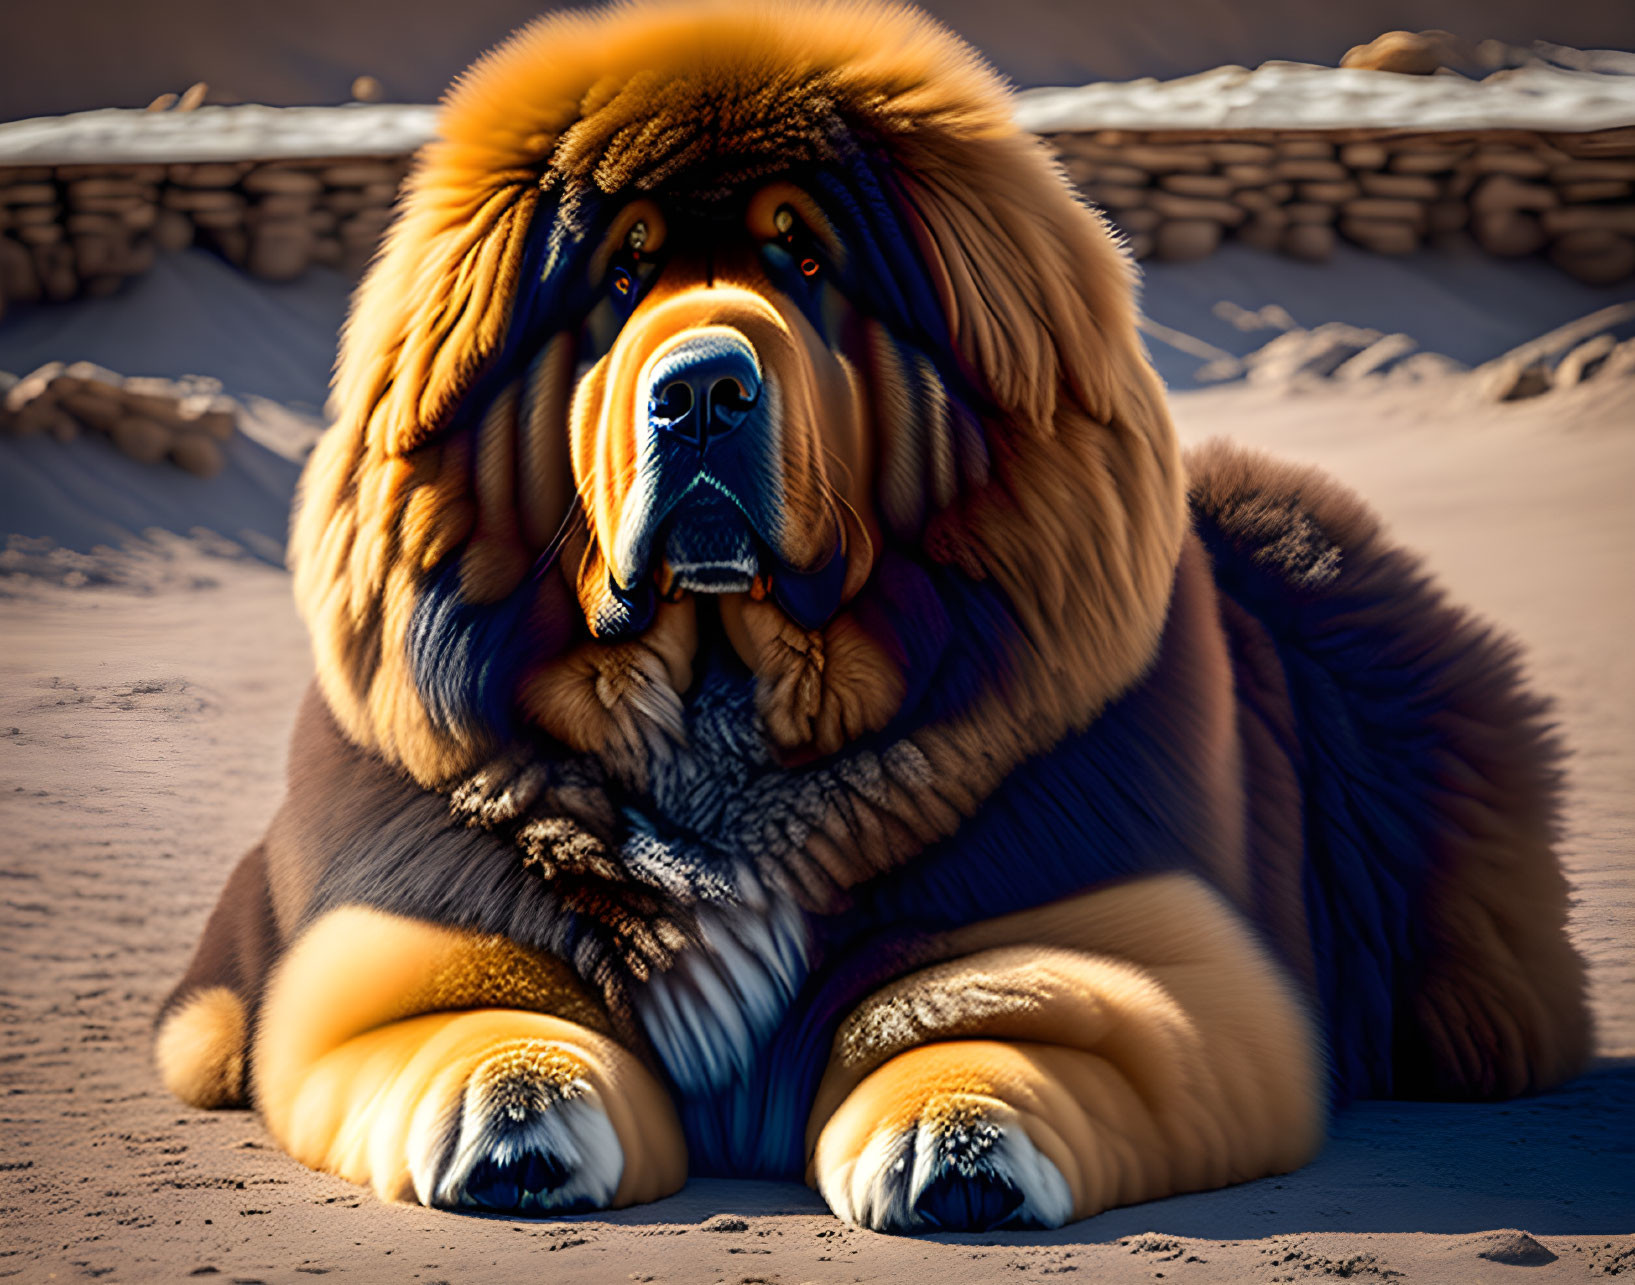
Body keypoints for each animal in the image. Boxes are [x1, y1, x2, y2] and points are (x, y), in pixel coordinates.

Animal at [153, 0, 1582, 1229]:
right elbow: (468, 1013)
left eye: (806, 258)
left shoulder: (1146, 930)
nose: (702, 390)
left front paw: (958, 1137)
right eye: (617, 281)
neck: (723, 701)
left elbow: (983, 1007)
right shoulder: (393, 924)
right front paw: (511, 1121)